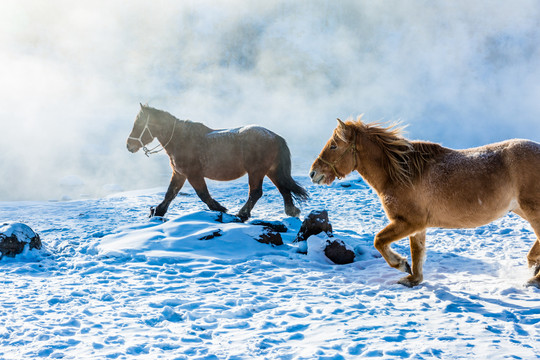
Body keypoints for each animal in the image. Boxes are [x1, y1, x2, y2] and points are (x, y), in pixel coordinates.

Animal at [125, 104, 308, 221]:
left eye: (139, 124)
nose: (129, 145)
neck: (181, 139)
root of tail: (274, 135)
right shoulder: (179, 174)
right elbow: (170, 194)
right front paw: (157, 211)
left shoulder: (193, 174)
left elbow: (203, 195)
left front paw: (221, 209)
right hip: (271, 171)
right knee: (283, 189)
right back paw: (291, 211)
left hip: (256, 172)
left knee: (256, 193)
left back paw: (242, 214)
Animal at [308, 116, 540, 288]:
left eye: (334, 146)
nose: (313, 173)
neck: (401, 174)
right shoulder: (417, 227)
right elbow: (417, 252)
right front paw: (413, 279)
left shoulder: (408, 222)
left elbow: (379, 240)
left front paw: (401, 265)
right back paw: (533, 264)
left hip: (532, 211)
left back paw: (534, 278)